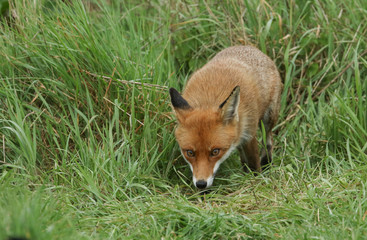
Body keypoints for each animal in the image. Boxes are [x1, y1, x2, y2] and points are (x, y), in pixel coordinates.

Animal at [170, 44, 284, 188]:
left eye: (215, 151)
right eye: (190, 153)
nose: (201, 184)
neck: (208, 100)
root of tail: (247, 46)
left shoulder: (249, 134)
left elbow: (254, 163)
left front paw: (256, 182)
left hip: (268, 118)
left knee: (268, 141)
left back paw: (267, 164)